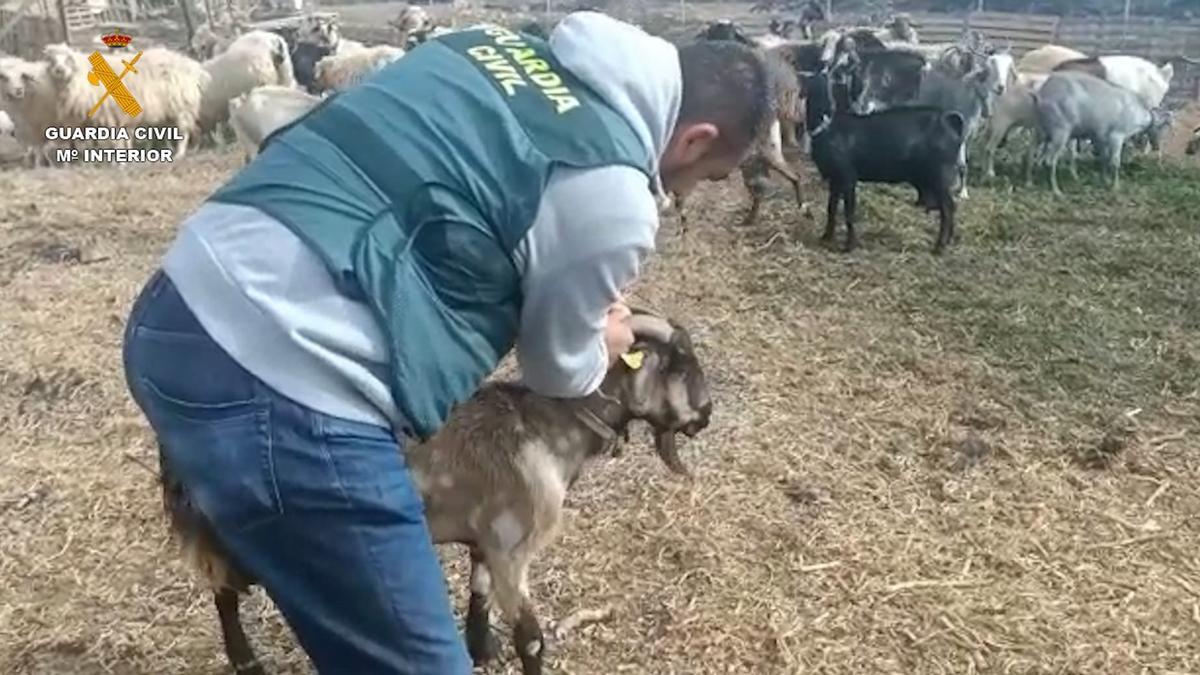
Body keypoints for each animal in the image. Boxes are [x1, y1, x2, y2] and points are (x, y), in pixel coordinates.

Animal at [154, 309, 705, 672]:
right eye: (678, 365)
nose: (705, 415)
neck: (544, 430)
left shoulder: (486, 540)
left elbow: (479, 594)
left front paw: (480, 650)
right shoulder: (512, 549)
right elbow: (531, 640)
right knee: (224, 591)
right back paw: (245, 661)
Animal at [806, 69, 964, 252]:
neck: (828, 128)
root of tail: (948, 119)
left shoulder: (847, 176)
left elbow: (848, 211)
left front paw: (849, 246)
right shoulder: (835, 178)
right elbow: (831, 208)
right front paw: (826, 237)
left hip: (940, 175)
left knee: (948, 207)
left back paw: (939, 246)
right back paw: (947, 241)